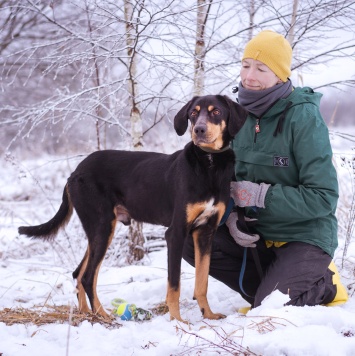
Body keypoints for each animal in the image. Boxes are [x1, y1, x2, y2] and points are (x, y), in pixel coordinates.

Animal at [18, 95, 248, 322]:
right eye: (193, 113)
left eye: (215, 111)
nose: (198, 130)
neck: (209, 163)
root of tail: (74, 173)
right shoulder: (176, 233)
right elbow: (174, 285)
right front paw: (177, 320)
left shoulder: (205, 232)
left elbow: (202, 281)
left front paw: (208, 315)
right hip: (102, 226)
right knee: (88, 276)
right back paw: (103, 315)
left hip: (97, 230)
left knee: (78, 273)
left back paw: (86, 313)